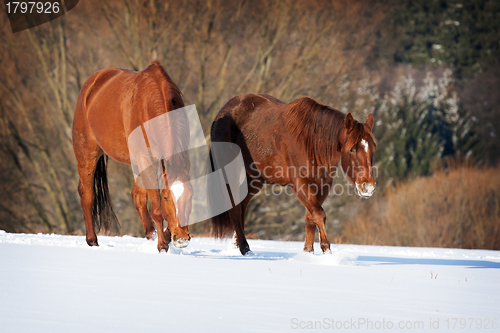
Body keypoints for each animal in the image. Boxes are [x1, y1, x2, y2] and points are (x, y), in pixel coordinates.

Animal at [72, 60, 191, 252]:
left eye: (191, 196)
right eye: (166, 197)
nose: (182, 239)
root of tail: (92, 83)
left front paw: (164, 236)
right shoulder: (146, 160)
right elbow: (157, 209)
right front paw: (162, 245)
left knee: (137, 196)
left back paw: (150, 234)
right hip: (87, 153)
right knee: (87, 195)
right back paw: (92, 240)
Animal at [209, 93, 376, 254]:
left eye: (373, 148)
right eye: (352, 149)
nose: (368, 187)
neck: (310, 141)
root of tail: (221, 114)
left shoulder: (323, 185)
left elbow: (311, 217)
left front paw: (308, 252)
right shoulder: (300, 184)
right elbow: (319, 214)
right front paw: (326, 250)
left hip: (253, 180)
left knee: (242, 207)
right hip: (231, 174)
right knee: (235, 209)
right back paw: (245, 249)